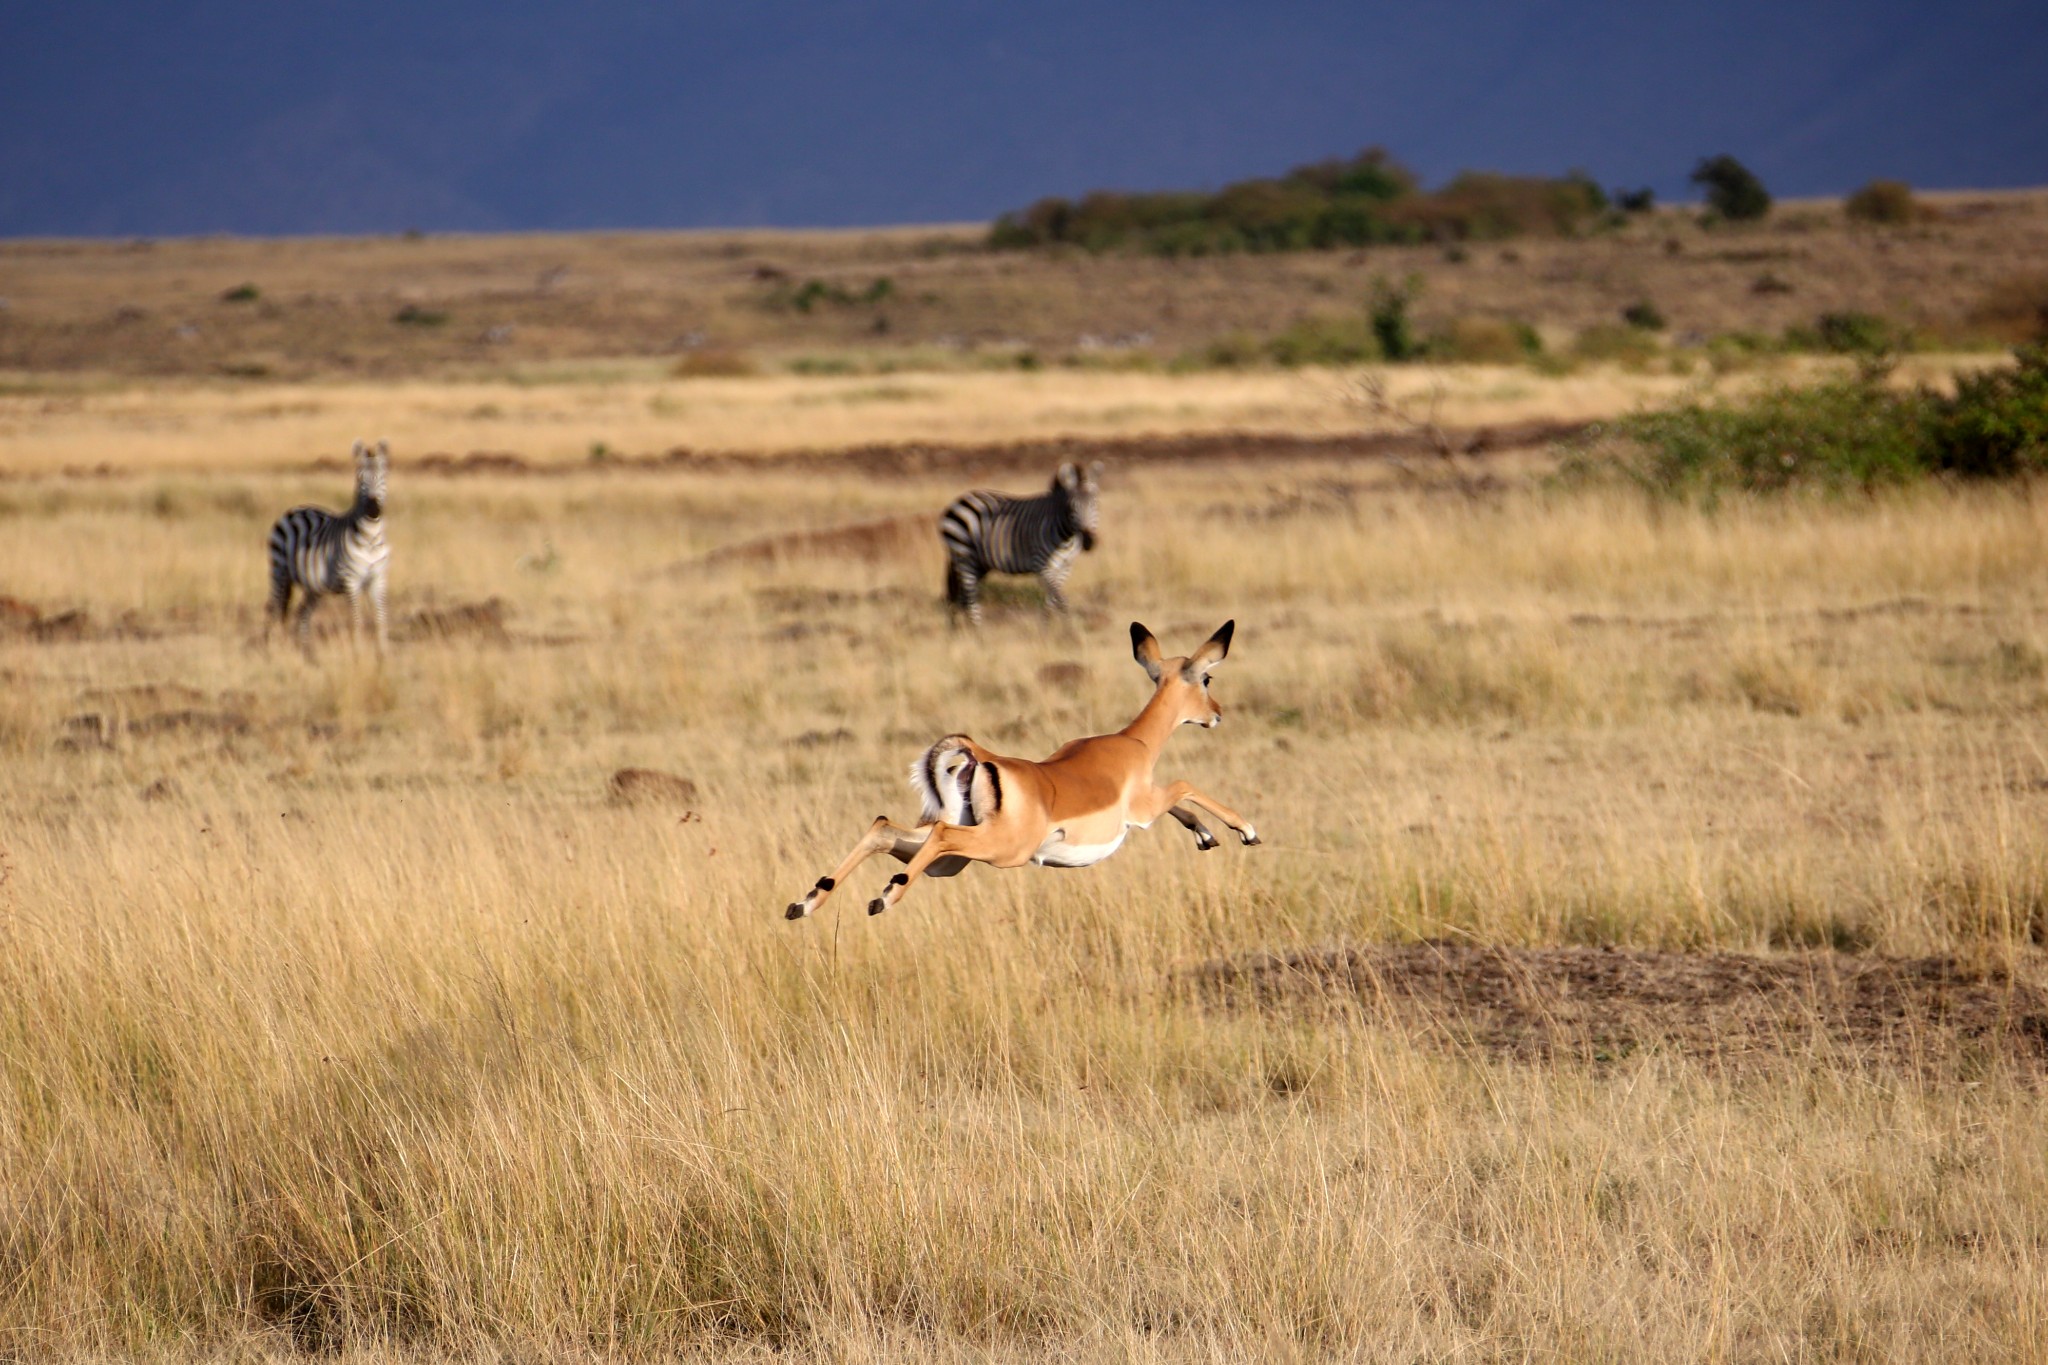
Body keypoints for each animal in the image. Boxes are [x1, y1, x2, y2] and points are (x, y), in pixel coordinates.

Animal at [266, 435, 389, 654]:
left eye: (383, 476)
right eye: (360, 479)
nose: (374, 510)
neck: (370, 538)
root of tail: (294, 509)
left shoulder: (378, 579)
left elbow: (381, 618)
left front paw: (384, 654)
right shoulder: (351, 581)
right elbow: (357, 619)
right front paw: (358, 652)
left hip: (313, 586)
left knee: (302, 615)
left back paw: (308, 655)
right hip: (279, 571)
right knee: (274, 610)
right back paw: (272, 651)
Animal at [942, 464, 1105, 626]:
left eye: (1095, 503)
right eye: (1071, 507)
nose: (1089, 541)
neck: (1066, 539)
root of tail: (961, 499)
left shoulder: (1065, 568)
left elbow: (1051, 601)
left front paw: (1045, 629)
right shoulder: (1042, 566)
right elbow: (1061, 600)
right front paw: (1070, 629)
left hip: (979, 564)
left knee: (961, 598)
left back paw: (960, 630)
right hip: (964, 555)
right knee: (969, 600)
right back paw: (977, 632)